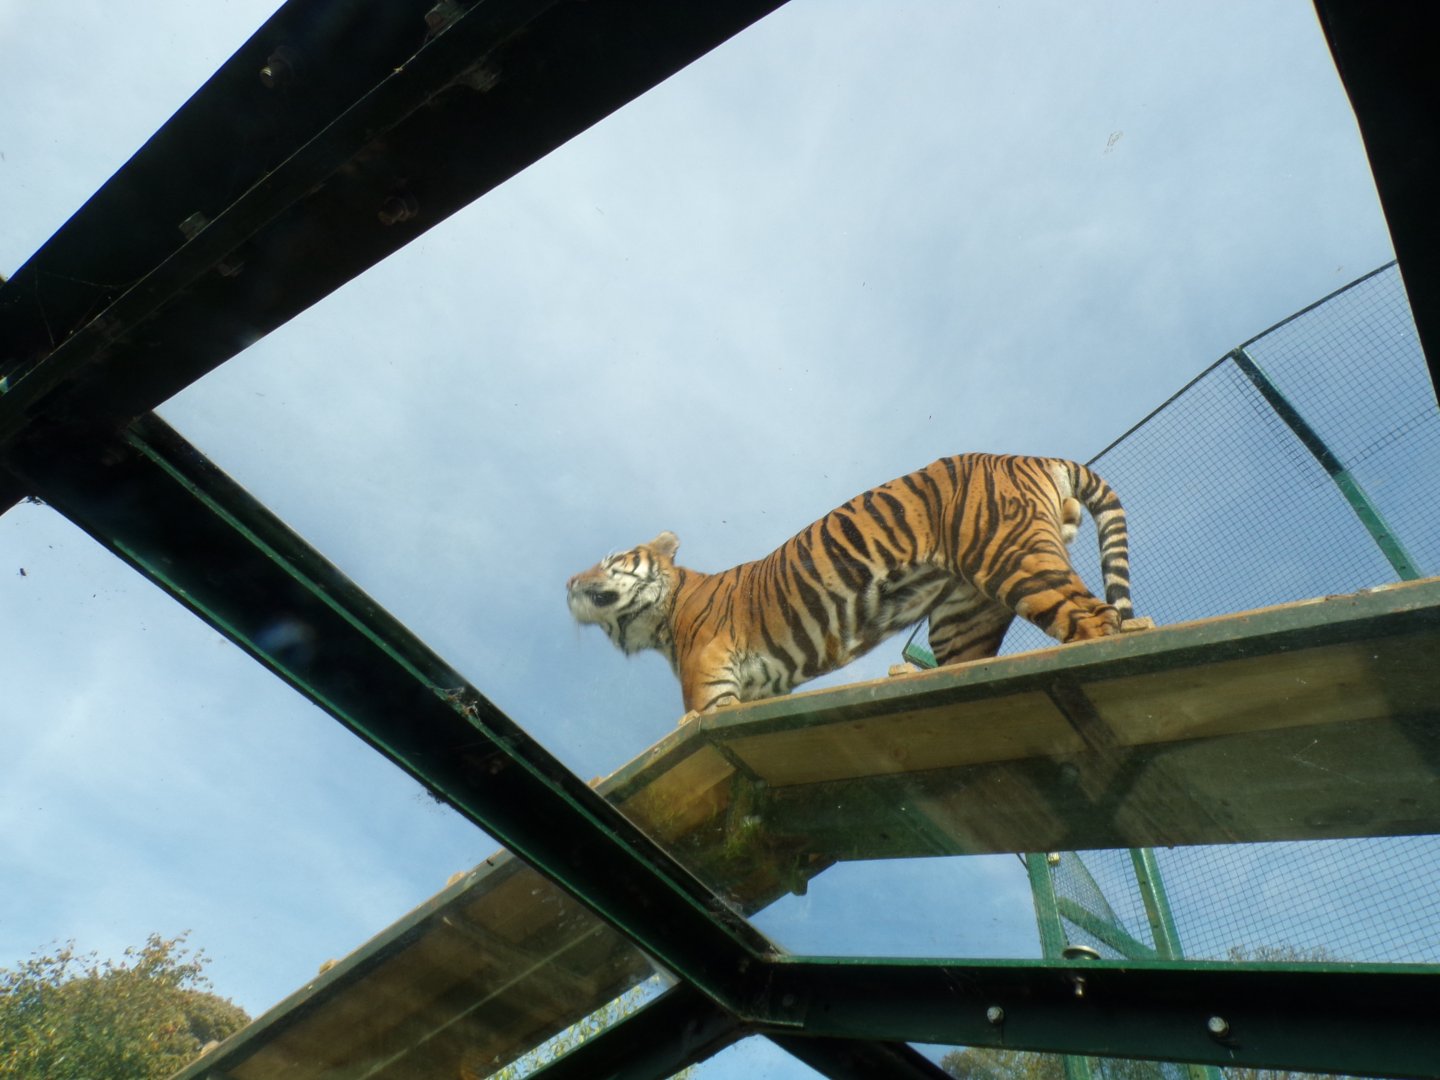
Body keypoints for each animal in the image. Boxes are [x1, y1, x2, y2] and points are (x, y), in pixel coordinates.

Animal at [566, 453, 1133, 715]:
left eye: (610, 560)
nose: (569, 581)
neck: (659, 622)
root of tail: (1030, 456)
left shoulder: (709, 693)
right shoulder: (756, 689)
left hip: (1013, 557)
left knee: (1096, 620)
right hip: (961, 618)